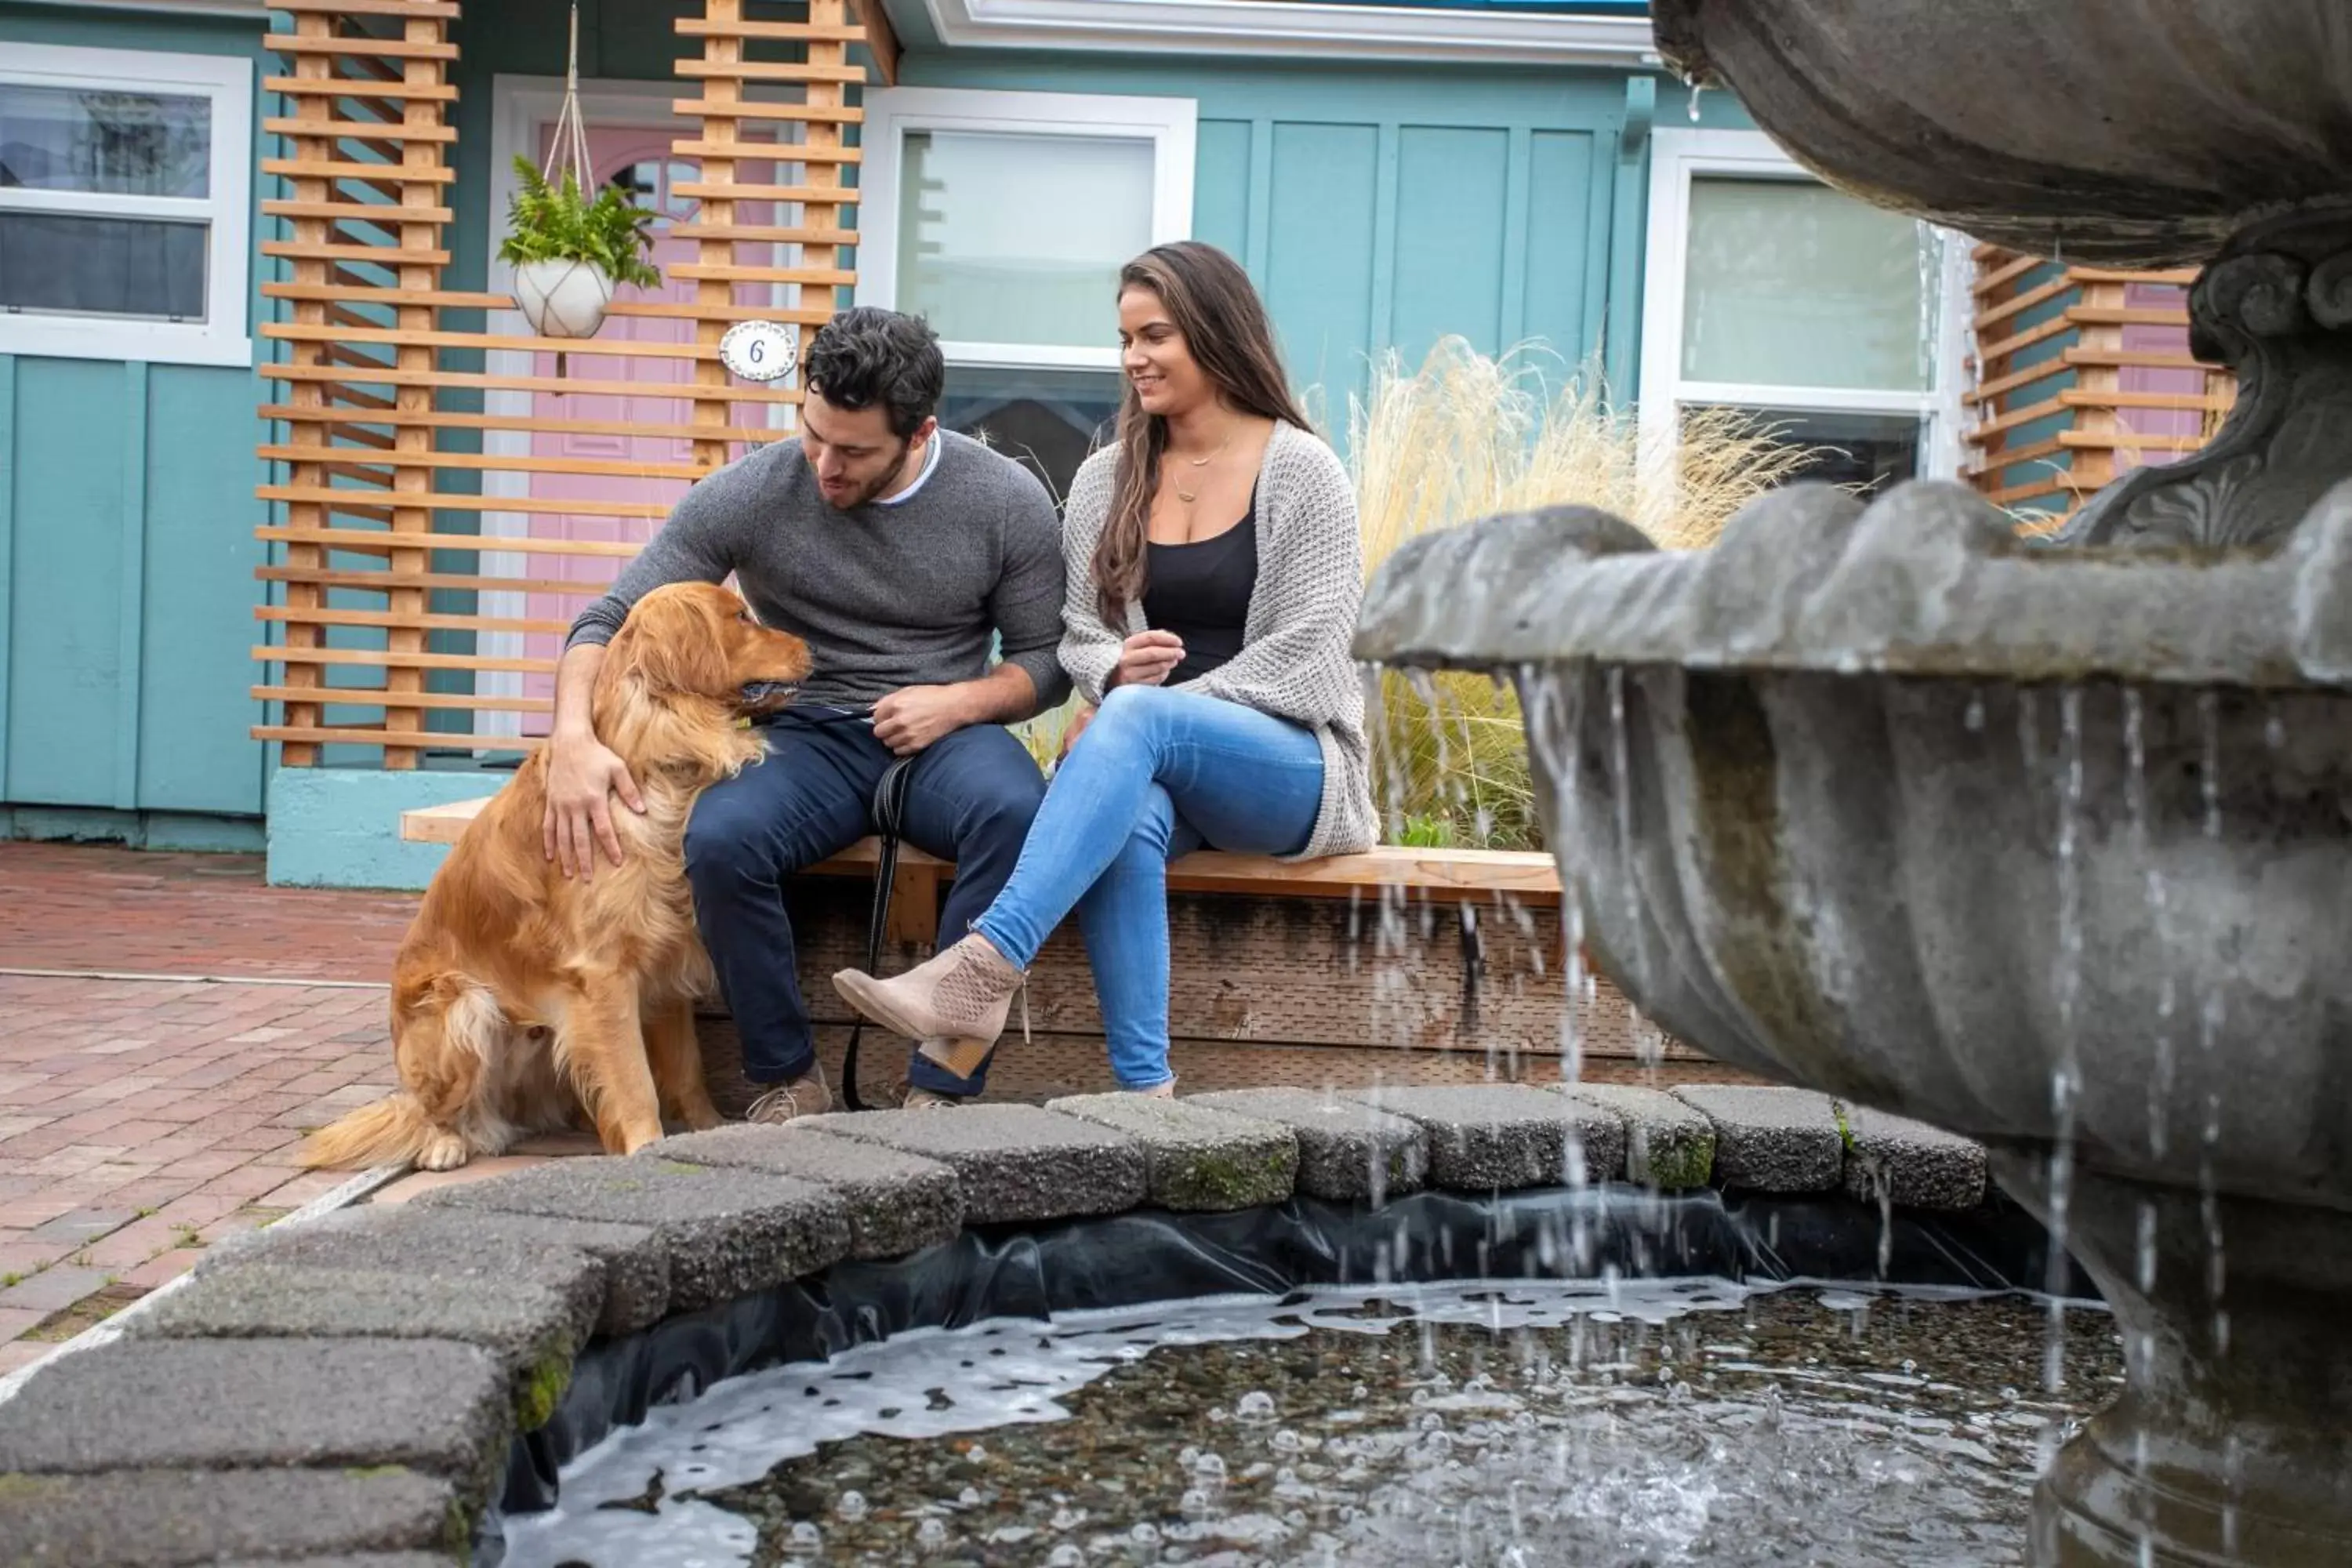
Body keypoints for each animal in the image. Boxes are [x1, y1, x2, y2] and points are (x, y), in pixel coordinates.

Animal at [299, 583, 814, 1171]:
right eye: (741, 618)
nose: (812, 647)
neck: (657, 763)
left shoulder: (666, 964)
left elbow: (687, 1071)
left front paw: (709, 1133)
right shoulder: (604, 973)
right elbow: (635, 1082)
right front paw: (647, 1146)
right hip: (460, 1007)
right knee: (432, 1109)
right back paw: (446, 1143)